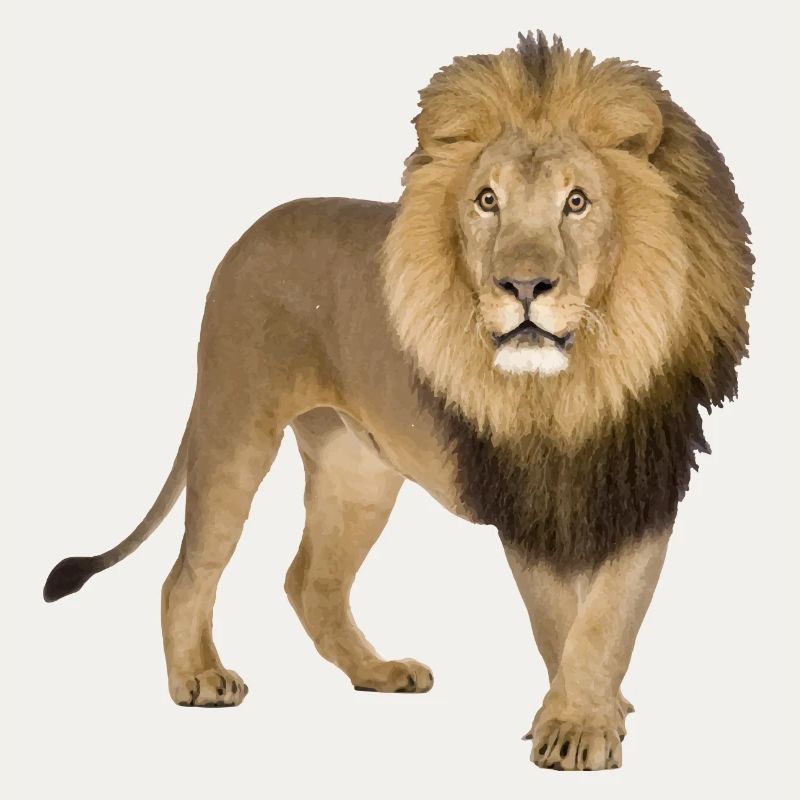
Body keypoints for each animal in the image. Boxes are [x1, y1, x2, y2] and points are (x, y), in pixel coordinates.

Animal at [44, 32, 752, 771]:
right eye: (488, 201)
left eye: (578, 202)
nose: (523, 285)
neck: (575, 383)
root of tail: (251, 232)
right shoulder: (522, 501)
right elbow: (561, 621)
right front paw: (575, 726)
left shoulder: (642, 488)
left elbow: (609, 619)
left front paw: (591, 716)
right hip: (236, 424)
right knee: (188, 570)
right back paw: (199, 677)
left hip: (358, 469)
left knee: (311, 581)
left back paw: (377, 673)